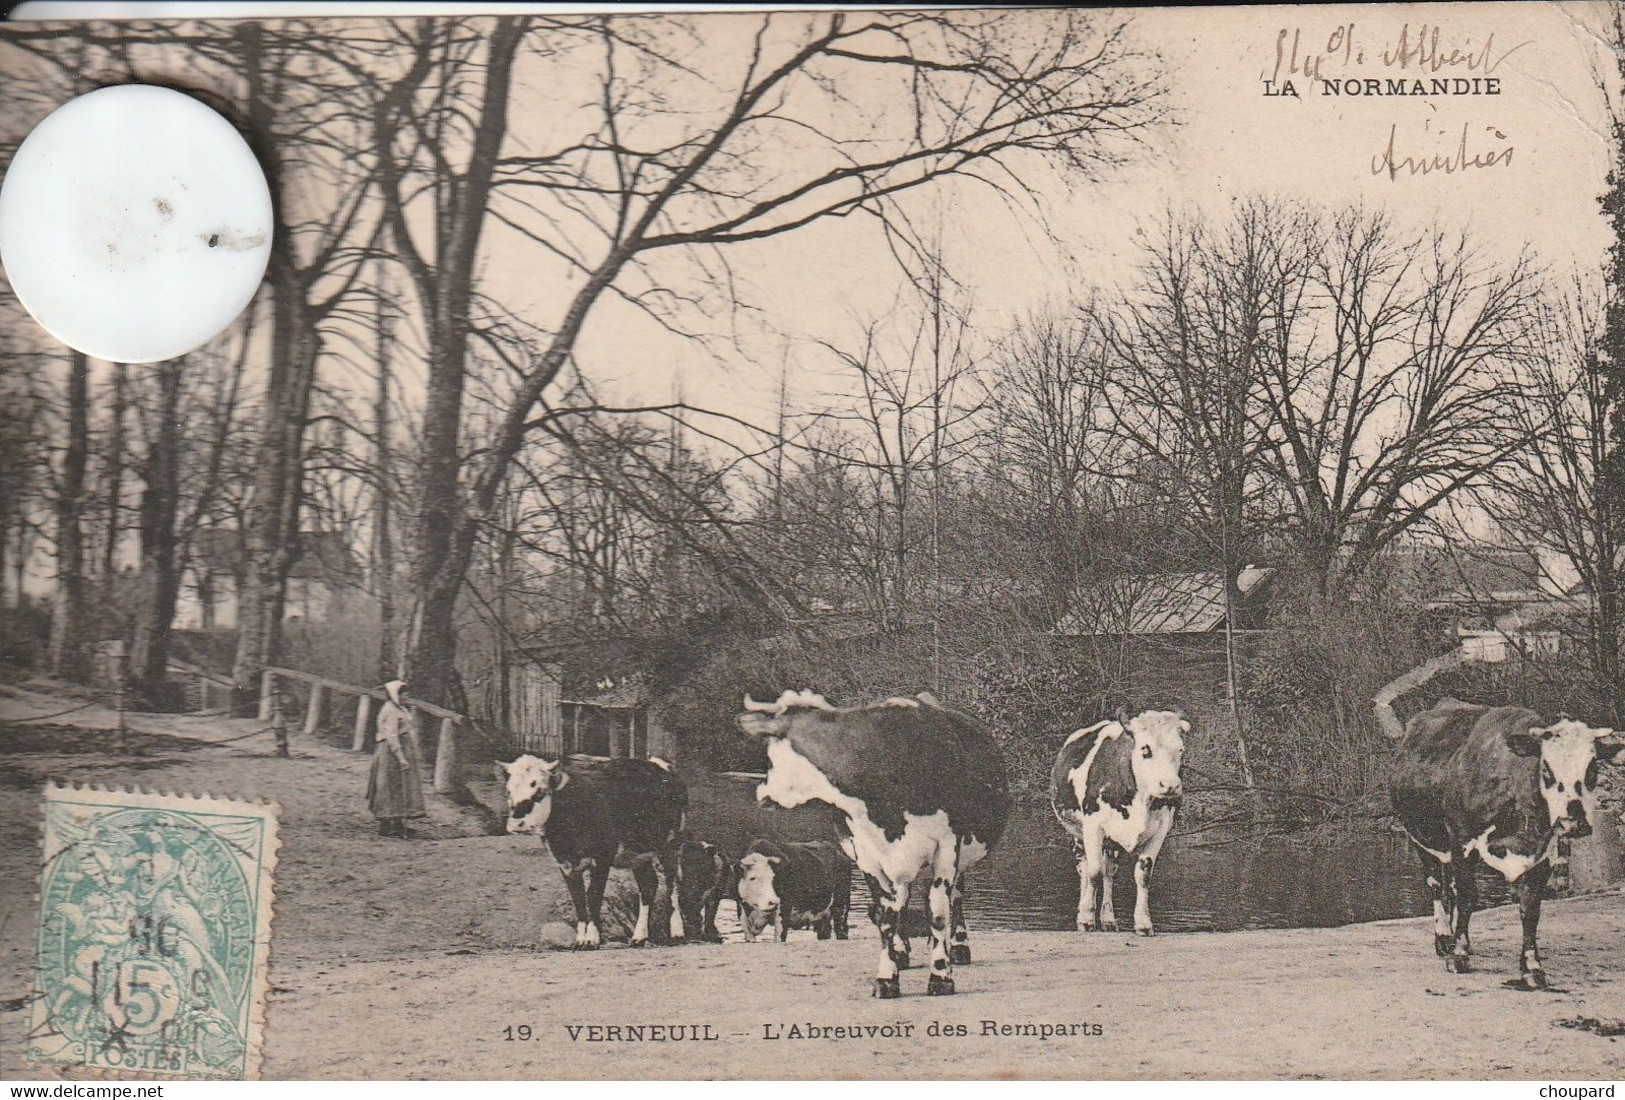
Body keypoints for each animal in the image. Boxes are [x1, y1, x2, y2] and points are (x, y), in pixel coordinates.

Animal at [503, 750, 689, 948]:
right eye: (509, 791)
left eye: (538, 789)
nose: (517, 824)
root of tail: (660, 765)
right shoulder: (564, 864)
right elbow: (578, 899)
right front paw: (579, 940)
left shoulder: (602, 857)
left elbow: (593, 895)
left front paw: (591, 939)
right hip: (638, 853)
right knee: (648, 886)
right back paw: (639, 937)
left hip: (671, 845)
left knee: (672, 885)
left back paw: (677, 933)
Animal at [734, 692, 1007, 1000]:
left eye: (771, 756)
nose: (762, 796)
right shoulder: (866, 853)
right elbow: (885, 915)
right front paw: (887, 978)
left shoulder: (947, 846)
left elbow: (938, 913)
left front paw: (940, 977)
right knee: (901, 900)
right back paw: (901, 952)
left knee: (956, 898)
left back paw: (959, 947)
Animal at [1046, 711, 1189, 935]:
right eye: (1145, 749)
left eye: (1180, 750)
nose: (1170, 786)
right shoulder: (1093, 826)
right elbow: (1094, 873)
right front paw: (1086, 918)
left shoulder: (1161, 830)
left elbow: (1143, 874)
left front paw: (1143, 923)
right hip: (1077, 833)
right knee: (1085, 869)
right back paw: (1083, 911)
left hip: (1111, 841)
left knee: (1109, 872)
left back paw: (1108, 920)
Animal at [1384, 695, 1625, 987]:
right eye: (1546, 767)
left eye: (1592, 768)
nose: (1573, 822)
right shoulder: (1462, 840)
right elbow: (1467, 897)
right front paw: (1458, 957)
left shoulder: (1543, 851)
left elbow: (1530, 907)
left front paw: (1532, 967)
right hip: (1422, 837)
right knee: (1435, 884)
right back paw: (1443, 939)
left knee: (1449, 885)